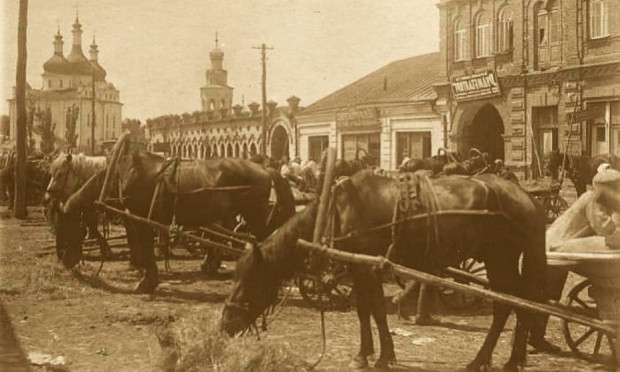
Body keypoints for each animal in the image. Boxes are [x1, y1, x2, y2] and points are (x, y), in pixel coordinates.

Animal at [223, 171, 548, 372]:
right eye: (236, 275)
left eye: (251, 279)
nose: (226, 323)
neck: (337, 212)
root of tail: (528, 199)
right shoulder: (359, 268)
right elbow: (365, 310)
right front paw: (367, 353)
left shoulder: (368, 268)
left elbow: (376, 310)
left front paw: (380, 356)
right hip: (500, 261)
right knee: (517, 304)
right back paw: (509, 359)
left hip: (500, 259)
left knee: (509, 305)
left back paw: (487, 359)